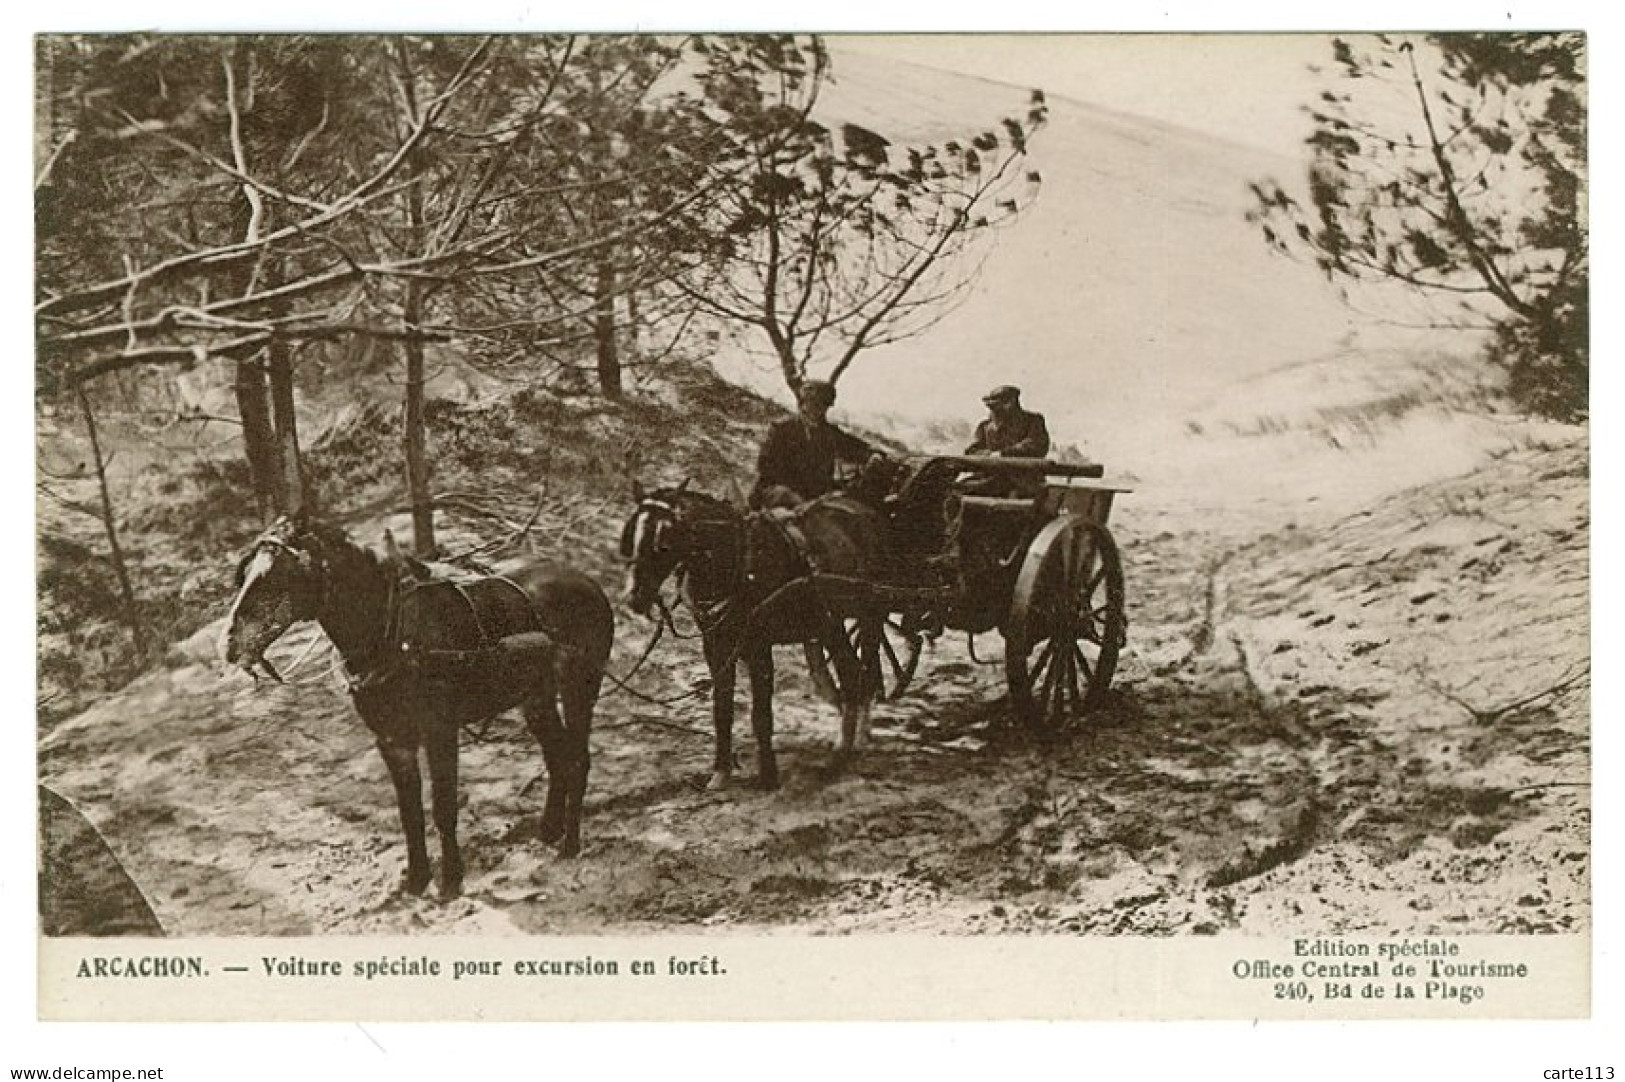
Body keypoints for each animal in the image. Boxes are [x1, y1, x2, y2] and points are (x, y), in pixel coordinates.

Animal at [222, 513, 614, 890]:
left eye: (278, 575)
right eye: (245, 574)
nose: (230, 643)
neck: (390, 631)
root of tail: (586, 580)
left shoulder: (439, 730)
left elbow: (443, 806)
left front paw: (451, 879)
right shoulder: (393, 740)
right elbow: (409, 813)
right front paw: (417, 879)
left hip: (579, 689)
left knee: (578, 759)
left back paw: (570, 843)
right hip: (536, 698)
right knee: (557, 757)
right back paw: (550, 829)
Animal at [617, 484, 890, 789]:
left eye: (663, 541)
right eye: (629, 535)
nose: (635, 596)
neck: (739, 562)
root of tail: (863, 509)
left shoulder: (760, 646)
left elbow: (761, 715)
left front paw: (768, 775)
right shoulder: (716, 645)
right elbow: (722, 709)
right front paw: (721, 773)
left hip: (868, 618)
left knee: (862, 673)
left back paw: (849, 747)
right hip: (830, 624)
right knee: (852, 673)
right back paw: (847, 744)